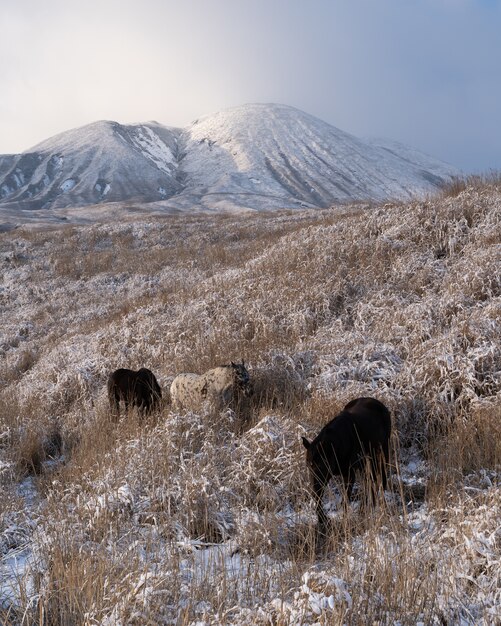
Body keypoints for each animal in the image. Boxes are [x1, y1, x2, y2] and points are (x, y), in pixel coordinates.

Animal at [300, 398, 390, 528]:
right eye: (308, 465)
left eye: (321, 465)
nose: (313, 486)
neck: (335, 448)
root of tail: (380, 404)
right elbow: (319, 500)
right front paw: (323, 519)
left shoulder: (348, 474)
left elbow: (345, 500)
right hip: (366, 461)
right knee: (370, 480)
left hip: (382, 450)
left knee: (380, 476)